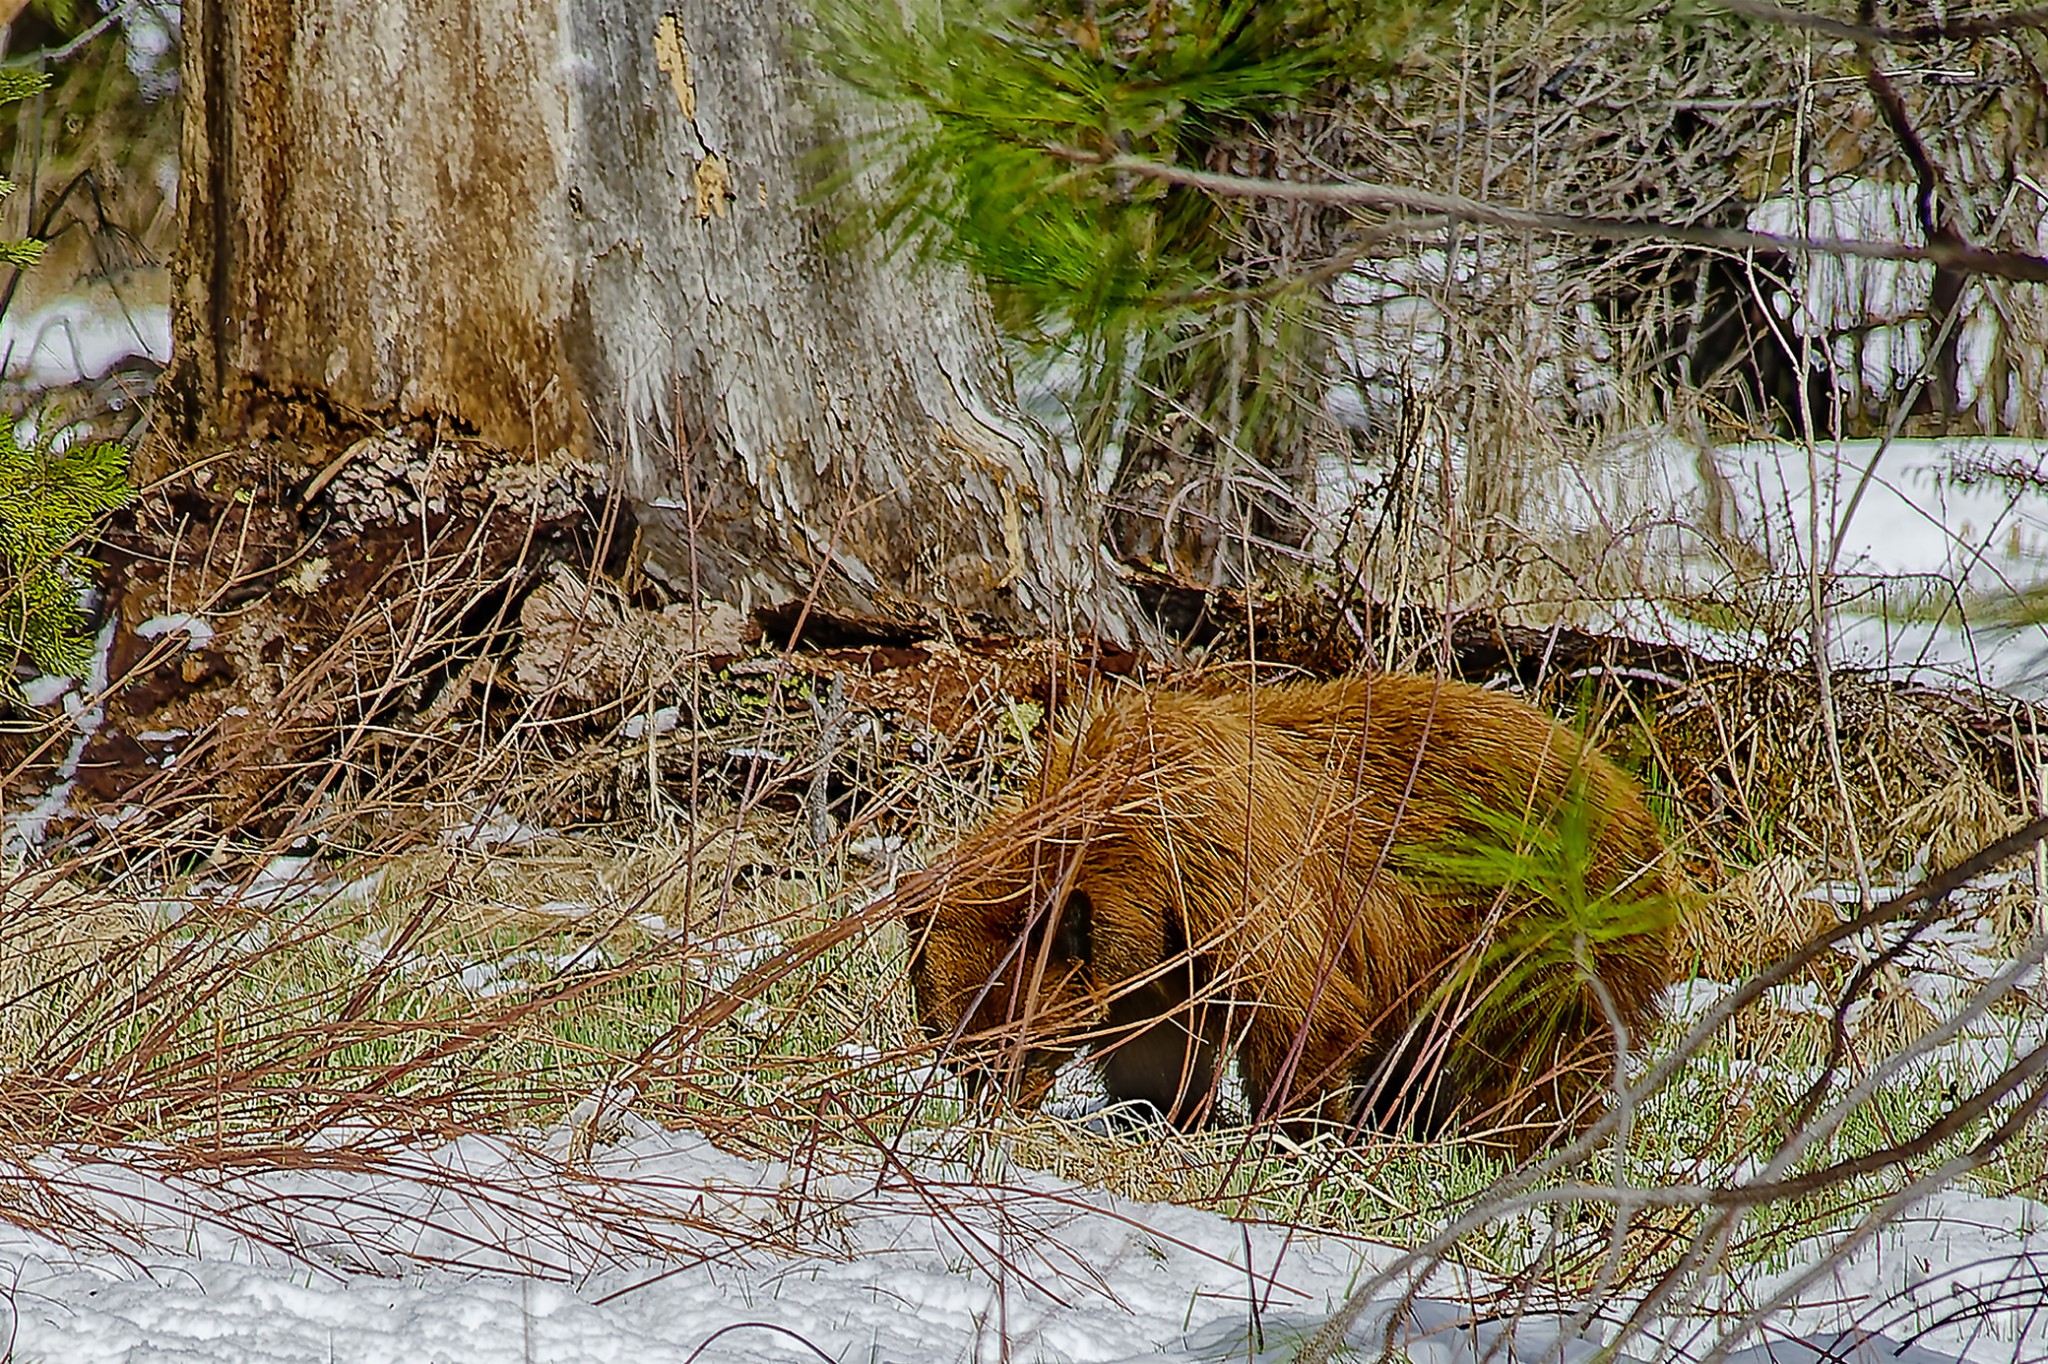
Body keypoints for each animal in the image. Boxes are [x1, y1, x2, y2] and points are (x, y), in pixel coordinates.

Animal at [909, 675, 1679, 1138]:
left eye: (1015, 1043)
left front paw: (1291, 1130)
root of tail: (1633, 796)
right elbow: (1158, 1043)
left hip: (1542, 930)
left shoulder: (1232, 871)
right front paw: (1165, 1113)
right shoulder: (1157, 952)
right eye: (948, 1047)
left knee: (1535, 1056)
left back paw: (1502, 1141)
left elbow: (1303, 1011)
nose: (987, 1119)